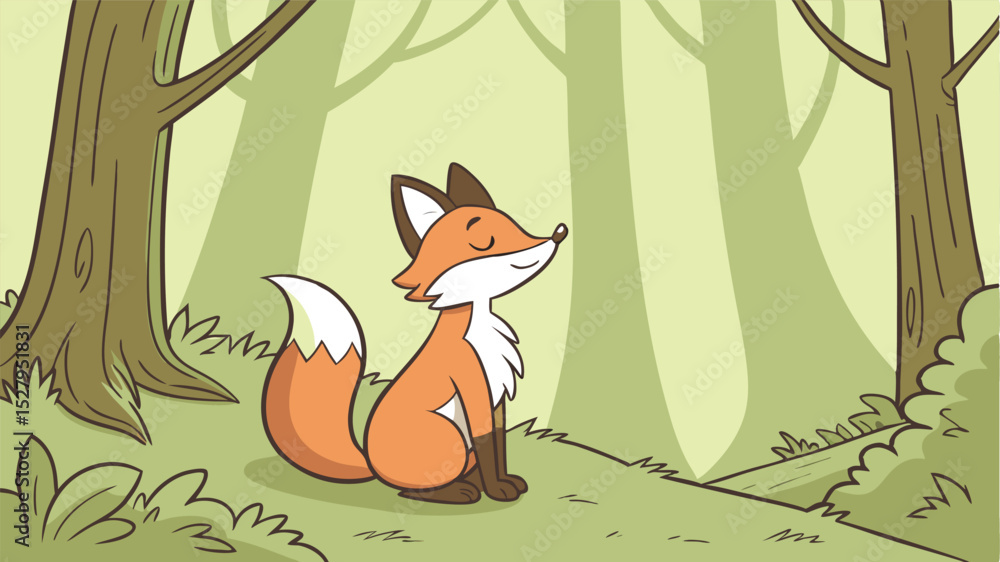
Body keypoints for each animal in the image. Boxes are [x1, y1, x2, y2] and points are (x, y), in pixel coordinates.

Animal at [261, 163, 567, 504]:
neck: (478, 326)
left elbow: (499, 441)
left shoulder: (496, 396)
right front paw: (497, 490)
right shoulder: (470, 379)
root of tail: (370, 463)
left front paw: (504, 481)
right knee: (411, 489)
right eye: (484, 240)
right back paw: (458, 491)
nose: (558, 233)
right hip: (448, 434)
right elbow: (487, 439)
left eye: (513, 223)